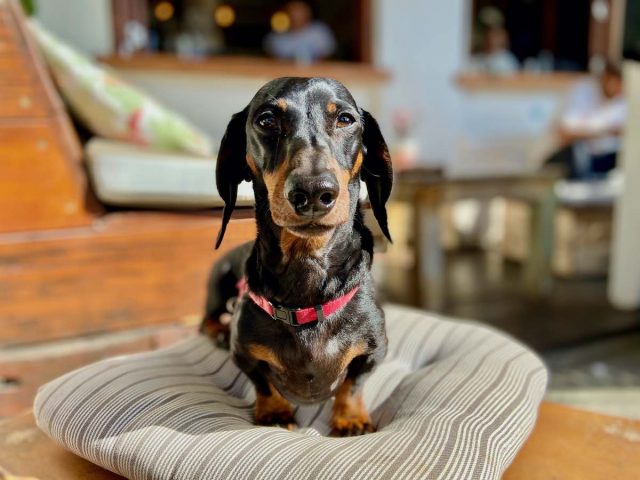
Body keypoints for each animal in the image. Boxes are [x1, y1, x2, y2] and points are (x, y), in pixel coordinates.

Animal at [205, 77, 392, 436]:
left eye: (345, 119)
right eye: (266, 120)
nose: (314, 192)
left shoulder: (374, 351)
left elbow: (353, 384)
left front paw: (350, 418)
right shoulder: (243, 353)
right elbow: (263, 382)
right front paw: (275, 411)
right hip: (218, 284)